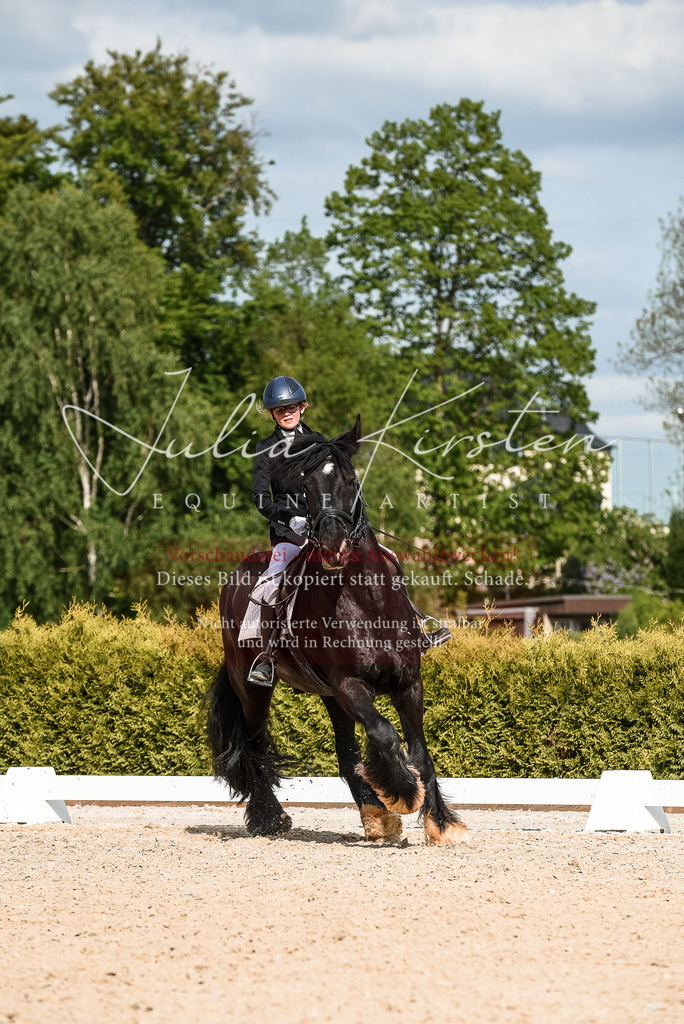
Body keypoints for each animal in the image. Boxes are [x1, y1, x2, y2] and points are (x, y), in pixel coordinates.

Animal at [206, 416, 468, 845]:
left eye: (350, 479)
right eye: (306, 484)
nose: (333, 545)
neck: (367, 602)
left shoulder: (408, 683)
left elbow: (420, 752)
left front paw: (441, 823)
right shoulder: (350, 684)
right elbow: (383, 734)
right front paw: (404, 792)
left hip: (329, 694)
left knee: (345, 756)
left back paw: (376, 817)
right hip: (255, 688)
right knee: (254, 745)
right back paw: (270, 818)